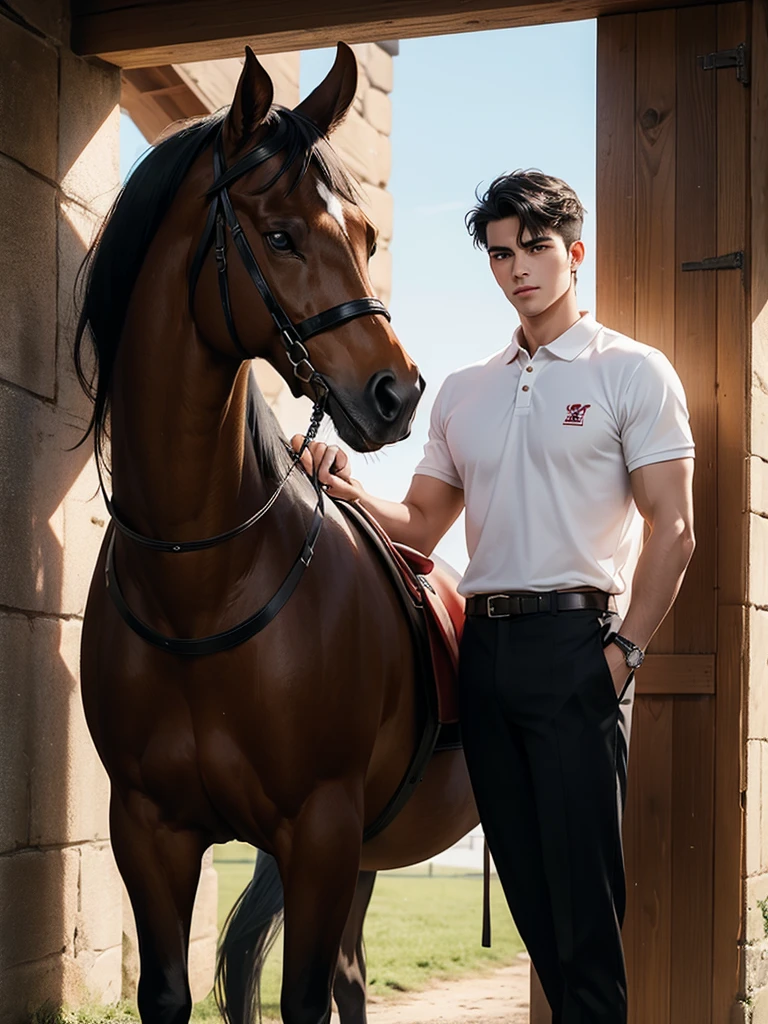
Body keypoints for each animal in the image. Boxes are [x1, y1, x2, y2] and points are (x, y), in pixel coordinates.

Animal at [75, 44, 479, 1024]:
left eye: (365, 237)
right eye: (283, 235)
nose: (396, 392)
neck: (202, 584)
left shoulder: (320, 829)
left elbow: (300, 999)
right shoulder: (149, 828)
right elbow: (174, 993)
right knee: (353, 979)